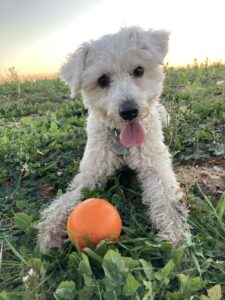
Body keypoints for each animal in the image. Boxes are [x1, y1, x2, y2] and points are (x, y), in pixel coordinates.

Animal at [37, 26, 190, 253]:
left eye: (138, 70)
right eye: (102, 80)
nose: (129, 111)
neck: (122, 141)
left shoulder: (155, 166)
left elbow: (167, 198)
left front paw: (175, 233)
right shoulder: (91, 173)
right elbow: (68, 198)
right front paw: (50, 228)